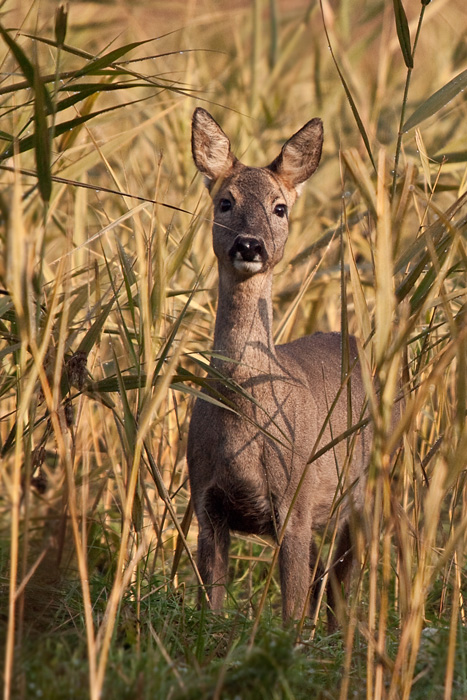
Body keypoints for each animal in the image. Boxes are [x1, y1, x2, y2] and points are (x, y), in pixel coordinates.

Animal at [186, 108, 370, 628]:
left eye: (280, 208)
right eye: (225, 201)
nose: (250, 245)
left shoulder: (295, 501)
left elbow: (290, 613)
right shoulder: (205, 503)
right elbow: (211, 610)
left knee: (341, 583)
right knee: (327, 580)